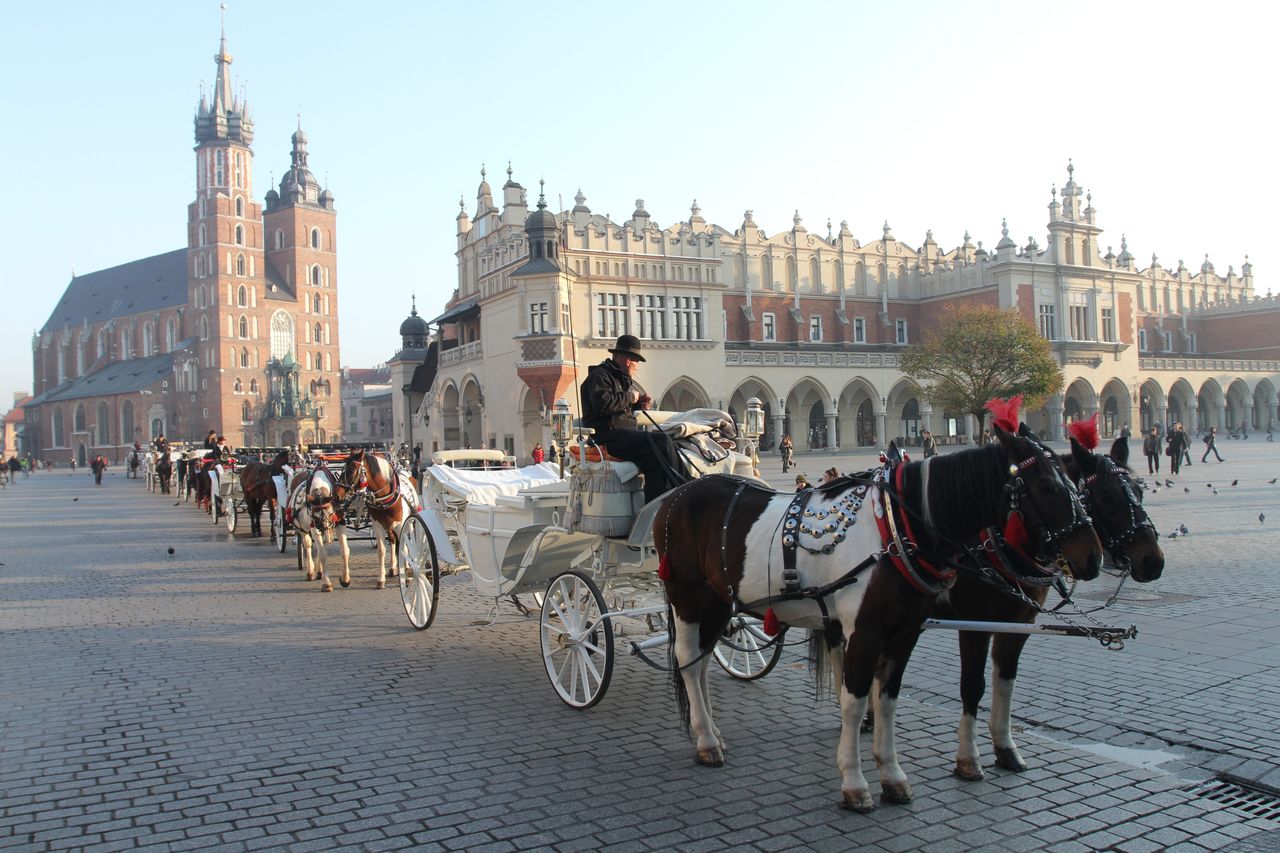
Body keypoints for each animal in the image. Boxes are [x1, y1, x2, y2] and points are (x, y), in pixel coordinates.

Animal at [650, 414, 1100, 809]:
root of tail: (676, 495)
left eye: (1074, 483)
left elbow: (887, 699)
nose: (1094, 557)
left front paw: (893, 776)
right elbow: (855, 701)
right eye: (1045, 484)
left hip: (718, 600)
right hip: (687, 595)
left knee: (700, 662)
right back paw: (707, 740)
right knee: (688, 659)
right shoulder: (865, 632)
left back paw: (711, 732)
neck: (898, 528)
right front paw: (854, 783)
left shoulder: (906, 632)